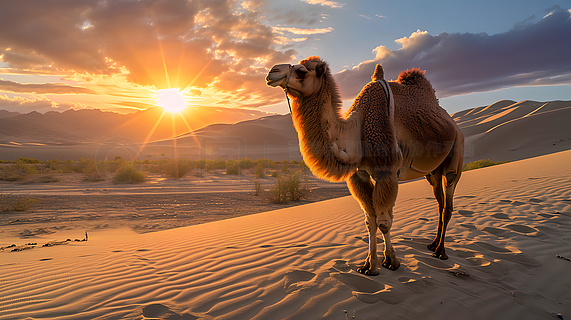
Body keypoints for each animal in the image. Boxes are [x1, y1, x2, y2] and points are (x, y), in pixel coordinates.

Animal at [268, 55, 464, 276]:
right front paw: (368, 265)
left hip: (457, 150)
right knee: (440, 202)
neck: (356, 130)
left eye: (301, 71)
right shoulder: (359, 175)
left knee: (448, 201)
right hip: (432, 173)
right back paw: (432, 244)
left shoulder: (386, 172)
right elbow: (370, 221)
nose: (272, 72)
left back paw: (441, 251)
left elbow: (384, 222)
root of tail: (453, 123)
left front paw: (391, 261)